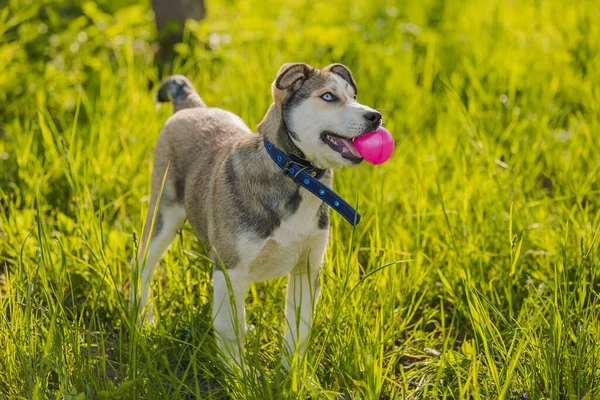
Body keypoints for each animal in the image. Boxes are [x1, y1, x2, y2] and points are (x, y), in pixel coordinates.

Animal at [133, 62, 382, 366]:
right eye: (328, 97)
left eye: (354, 96)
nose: (375, 116)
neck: (297, 176)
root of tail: (191, 108)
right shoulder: (231, 268)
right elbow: (230, 330)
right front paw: (238, 373)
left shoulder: (307, 267)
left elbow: (298, 330)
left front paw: (293, 372)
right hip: (163, 214)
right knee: (143, 265)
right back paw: (143, 318)